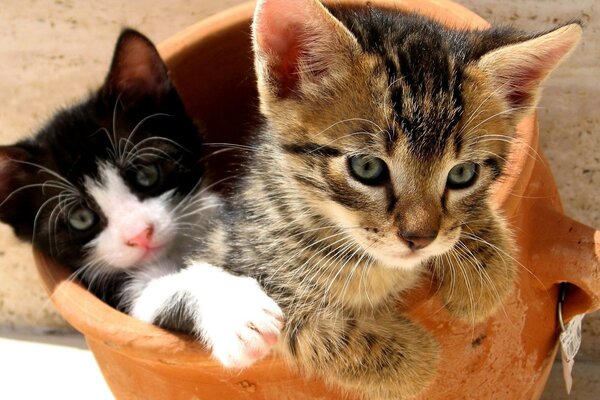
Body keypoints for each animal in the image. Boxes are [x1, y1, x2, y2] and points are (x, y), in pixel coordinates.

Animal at [0, 28, 284, 368]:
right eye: (81, 218)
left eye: (147, 174)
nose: (139, 233)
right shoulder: (121, 294)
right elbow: (165, 291)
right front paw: (237, 313)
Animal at [193, 0, 580, 396]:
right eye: (366, 167)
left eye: (462, 174)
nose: (419, 239)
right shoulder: (245, 256)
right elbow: (300, 325)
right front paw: (415, 361)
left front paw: (487, 272)